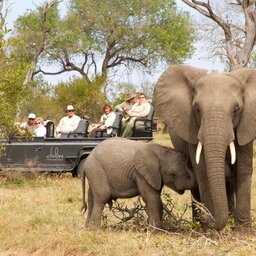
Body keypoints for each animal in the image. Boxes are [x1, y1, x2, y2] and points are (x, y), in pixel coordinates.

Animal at [152, 64, 256, 232]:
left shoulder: (247, 124)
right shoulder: (192, 128)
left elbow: (242, 169)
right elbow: (201, 170)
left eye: (236, 109)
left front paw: (243, 232)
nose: (208, 217)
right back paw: (199, 224)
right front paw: (209, 230)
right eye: (196, 109)